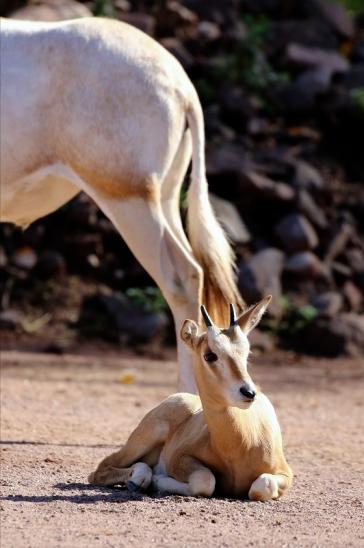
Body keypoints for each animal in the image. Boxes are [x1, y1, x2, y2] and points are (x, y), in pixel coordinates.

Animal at [89, 296, 292, 500]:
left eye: (246, 353)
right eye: (209, 355)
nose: (249, 392)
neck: (242, 442)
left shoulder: (285, 473)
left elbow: (262, 486)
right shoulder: (179, 457)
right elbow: (205, 481)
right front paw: (157, 480)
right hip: (143, 439)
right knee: (100, 470)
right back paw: (140, 478)